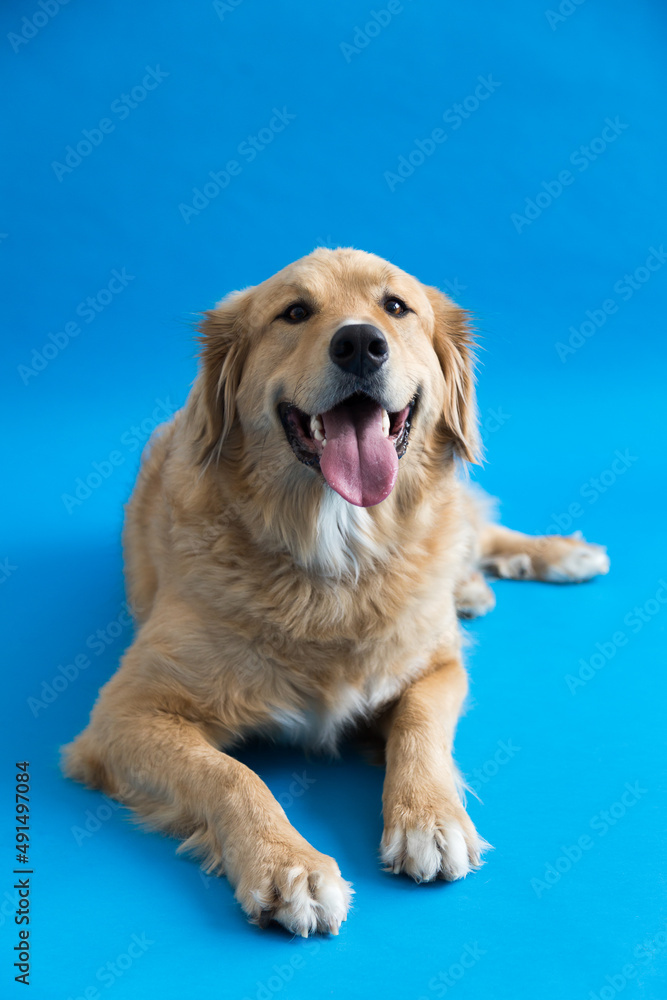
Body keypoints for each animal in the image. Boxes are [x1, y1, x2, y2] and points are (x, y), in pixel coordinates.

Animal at [62, 248, 612, 936]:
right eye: (295, 312)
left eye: (396, 306)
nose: (359, 345)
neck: (336, 553)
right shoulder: (123, 715)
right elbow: (231, 775)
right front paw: (286, 862)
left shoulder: (439, 667)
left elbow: (421, 729)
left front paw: (428, 817)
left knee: (478, 527)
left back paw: (556, 556)